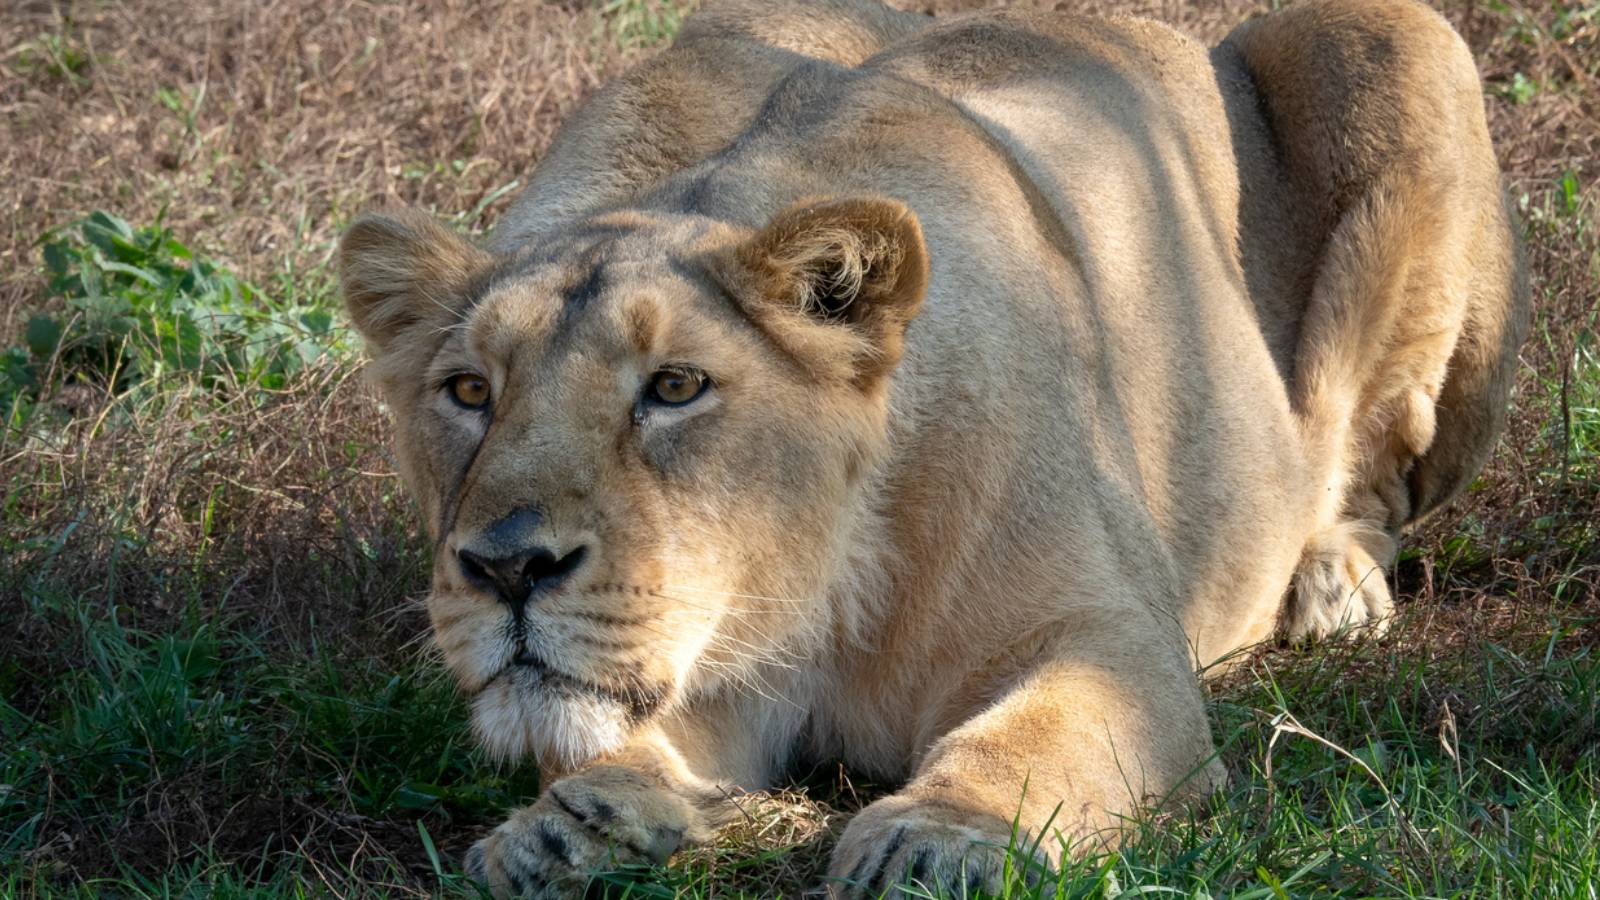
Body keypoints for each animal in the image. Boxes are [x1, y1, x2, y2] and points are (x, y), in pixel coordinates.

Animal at [338, 0, 1528, 895]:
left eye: (674, 387)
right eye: (468, 392)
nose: (506, 569)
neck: (808, 600)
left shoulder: (1117, 638)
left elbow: (1038, 737)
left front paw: (938, 839)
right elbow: (615, 735)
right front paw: (572, 825)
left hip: (1395, 36)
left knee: (1376, 480)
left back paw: (1330, 586)